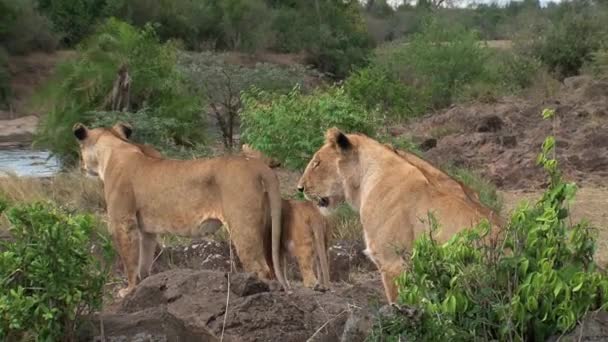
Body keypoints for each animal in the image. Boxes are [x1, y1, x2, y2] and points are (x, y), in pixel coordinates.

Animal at [73, 123, 288, 296]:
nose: (81, 165)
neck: (116, 147)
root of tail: (258, 166)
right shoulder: (147, 231)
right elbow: (144, 260)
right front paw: (145, 284)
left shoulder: (123, 222)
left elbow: (130, 260)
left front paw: (128, 290)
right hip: (266, 226)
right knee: (271, 264)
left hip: (243, 227)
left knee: (261, 268)